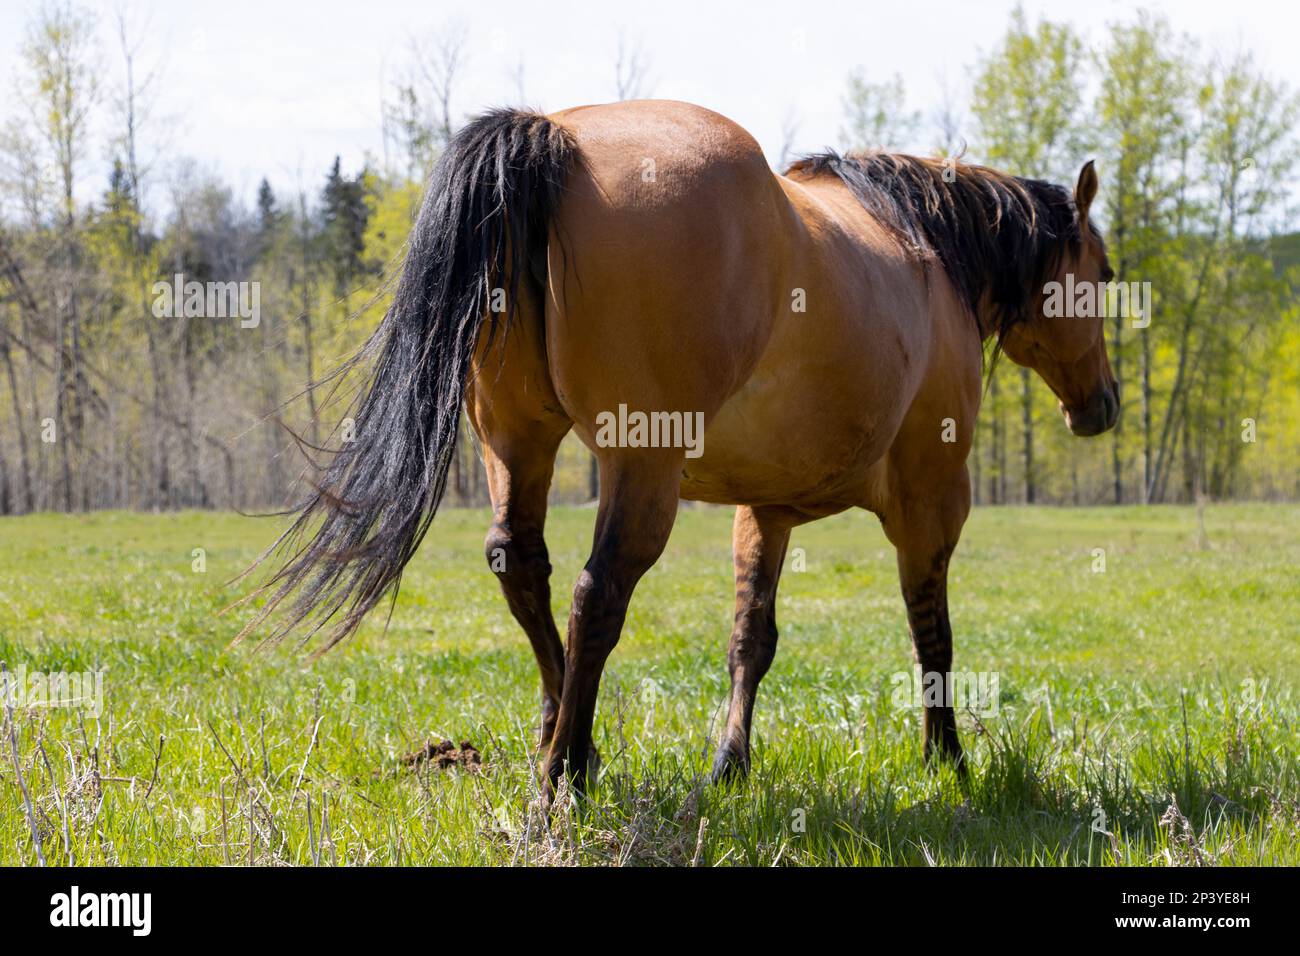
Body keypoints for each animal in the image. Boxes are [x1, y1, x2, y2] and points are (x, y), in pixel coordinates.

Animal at [241, 98, 1118, 801]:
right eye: (1106, 274)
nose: (1103, 405)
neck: (924, 248)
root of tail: (557, 136)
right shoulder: (931, 498)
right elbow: (931, 634)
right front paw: (949, 761)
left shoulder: (765, 512)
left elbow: (750, 642)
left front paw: (730, 764)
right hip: (642, 468)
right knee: (596, 593)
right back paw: (565, 774)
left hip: (518, 445)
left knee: (522, 568)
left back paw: (567, 742)